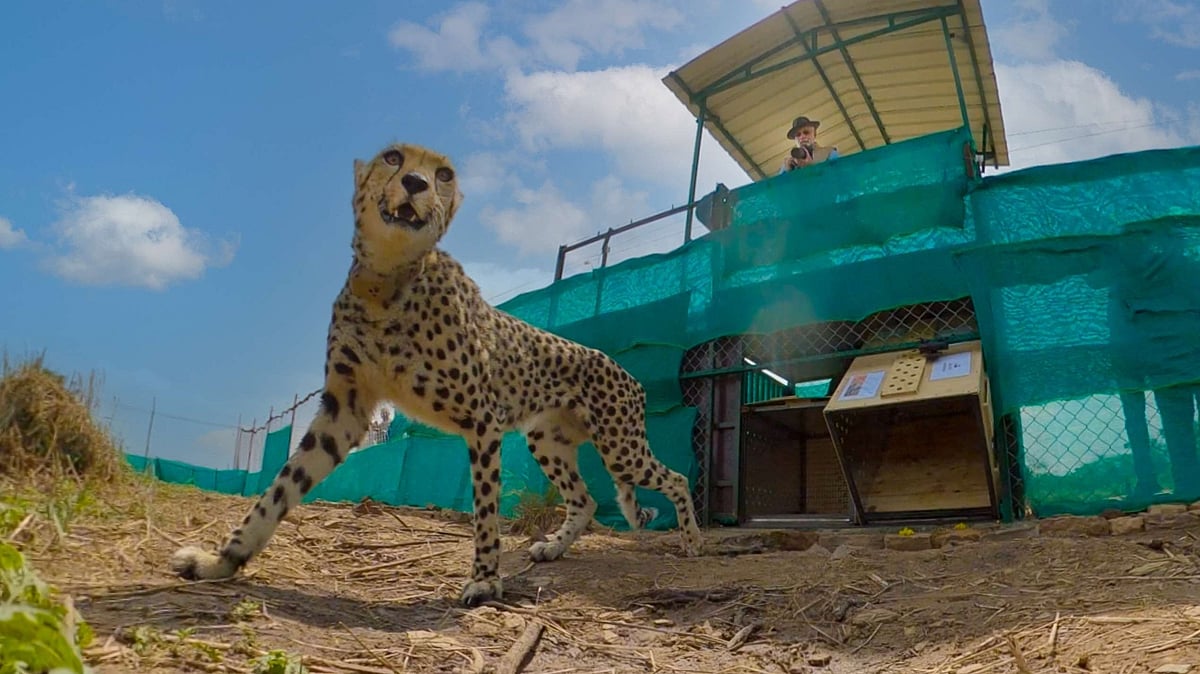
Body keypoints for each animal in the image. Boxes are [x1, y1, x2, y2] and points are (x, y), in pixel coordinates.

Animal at [169, 142, 704, 606]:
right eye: (392, 158)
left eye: (442, 173)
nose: (415, 183)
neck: (387, 280)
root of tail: (624, 369)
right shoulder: (346, 410)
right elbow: (278, 490)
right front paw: (221, 561)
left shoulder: (483, 420)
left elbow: (485, 509)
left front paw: (485, 582)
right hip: (547, 440)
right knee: (587, 500)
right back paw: (554, 546)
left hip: (620, 447)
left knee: (676, 477)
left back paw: (693, 541)